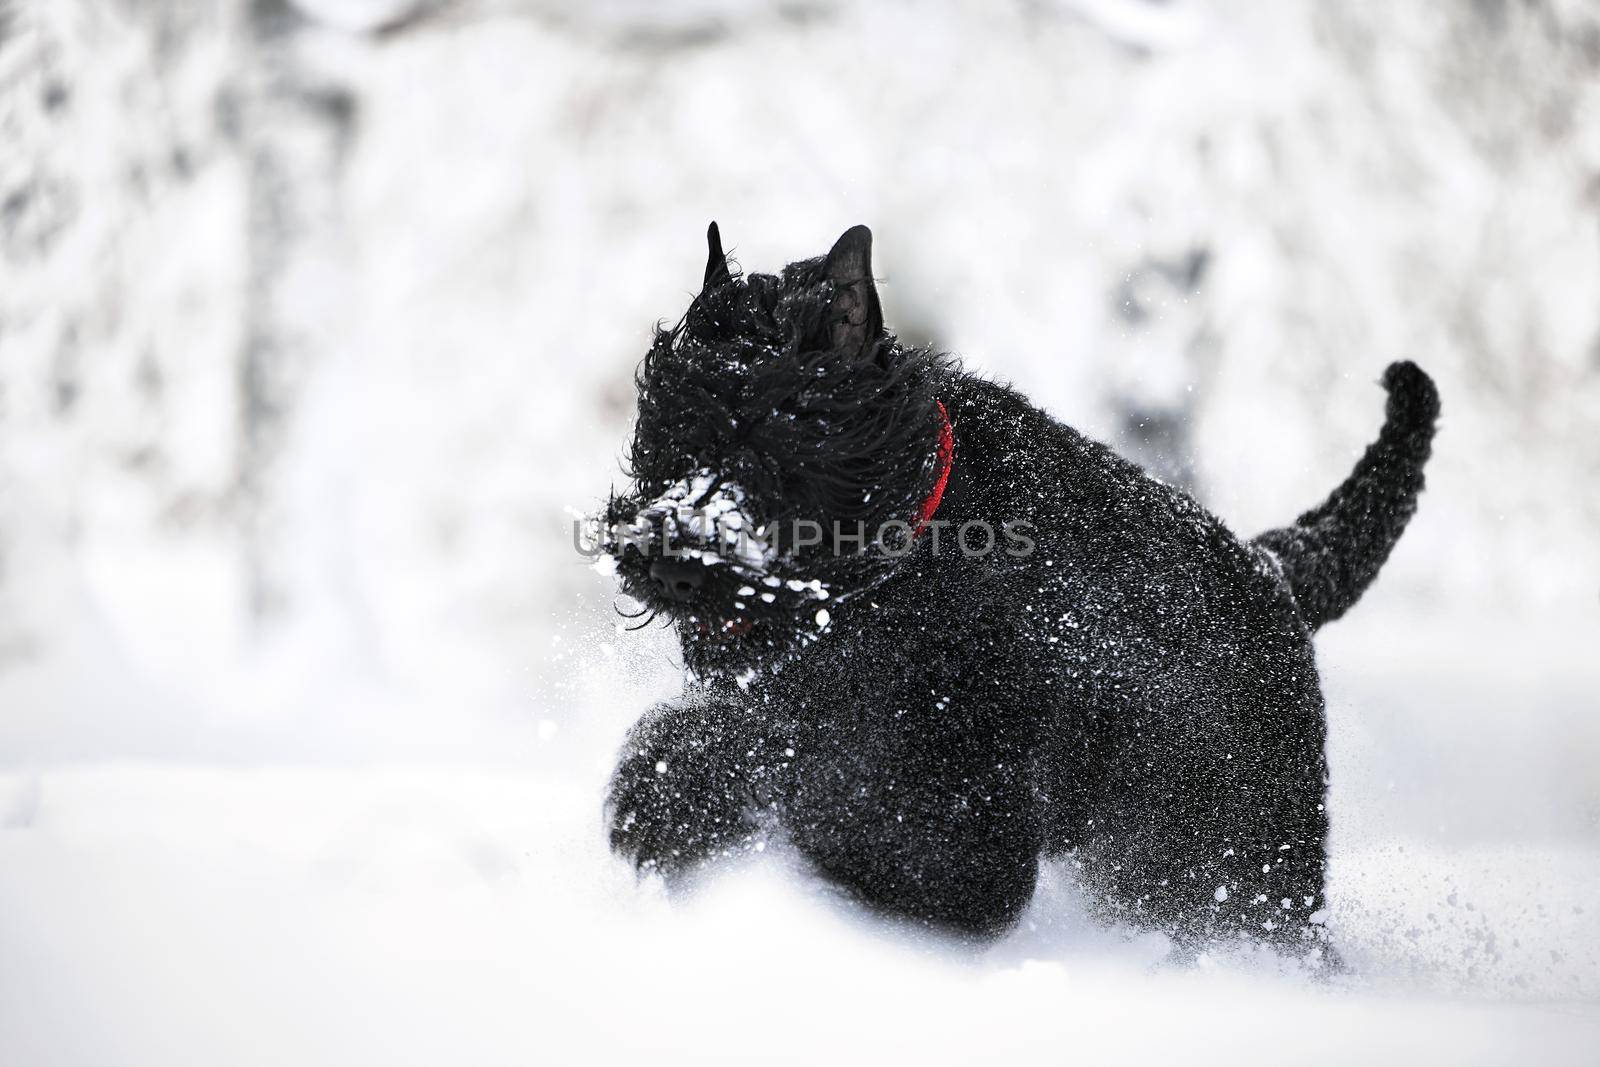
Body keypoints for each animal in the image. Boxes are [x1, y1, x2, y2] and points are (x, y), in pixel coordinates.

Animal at [598, 225, 1440, 959]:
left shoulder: (970, 823)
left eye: (769, 445)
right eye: (666, 442)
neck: (920, 543)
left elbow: (831, 797)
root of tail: (1275, 571)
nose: (667, 558)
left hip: (1245, 868)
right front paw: (667, 792)